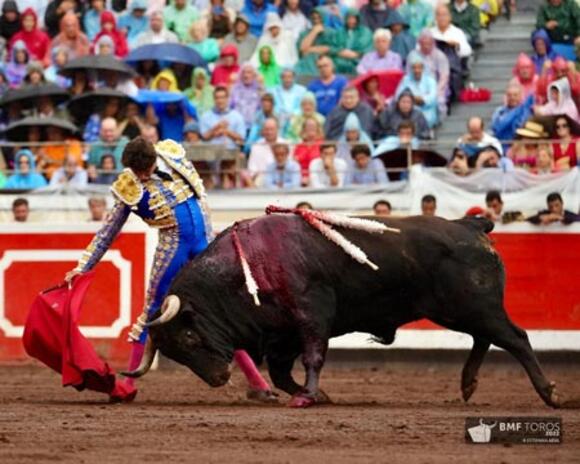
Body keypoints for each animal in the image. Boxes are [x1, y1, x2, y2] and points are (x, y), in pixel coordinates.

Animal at [123, 213, 560, 406]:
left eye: (189, 335)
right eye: (176, 353)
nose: (218, 378)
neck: (246, 267)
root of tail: (472, 224)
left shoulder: (312, 316)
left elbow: (313, 357)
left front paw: (309, 396)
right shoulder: (282, 335)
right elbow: (281, 372)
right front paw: (315, 395)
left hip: (475, 306)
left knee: (515, 338)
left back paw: (549, 393)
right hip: (458, 311)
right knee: (485, 338)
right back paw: (468, 384)